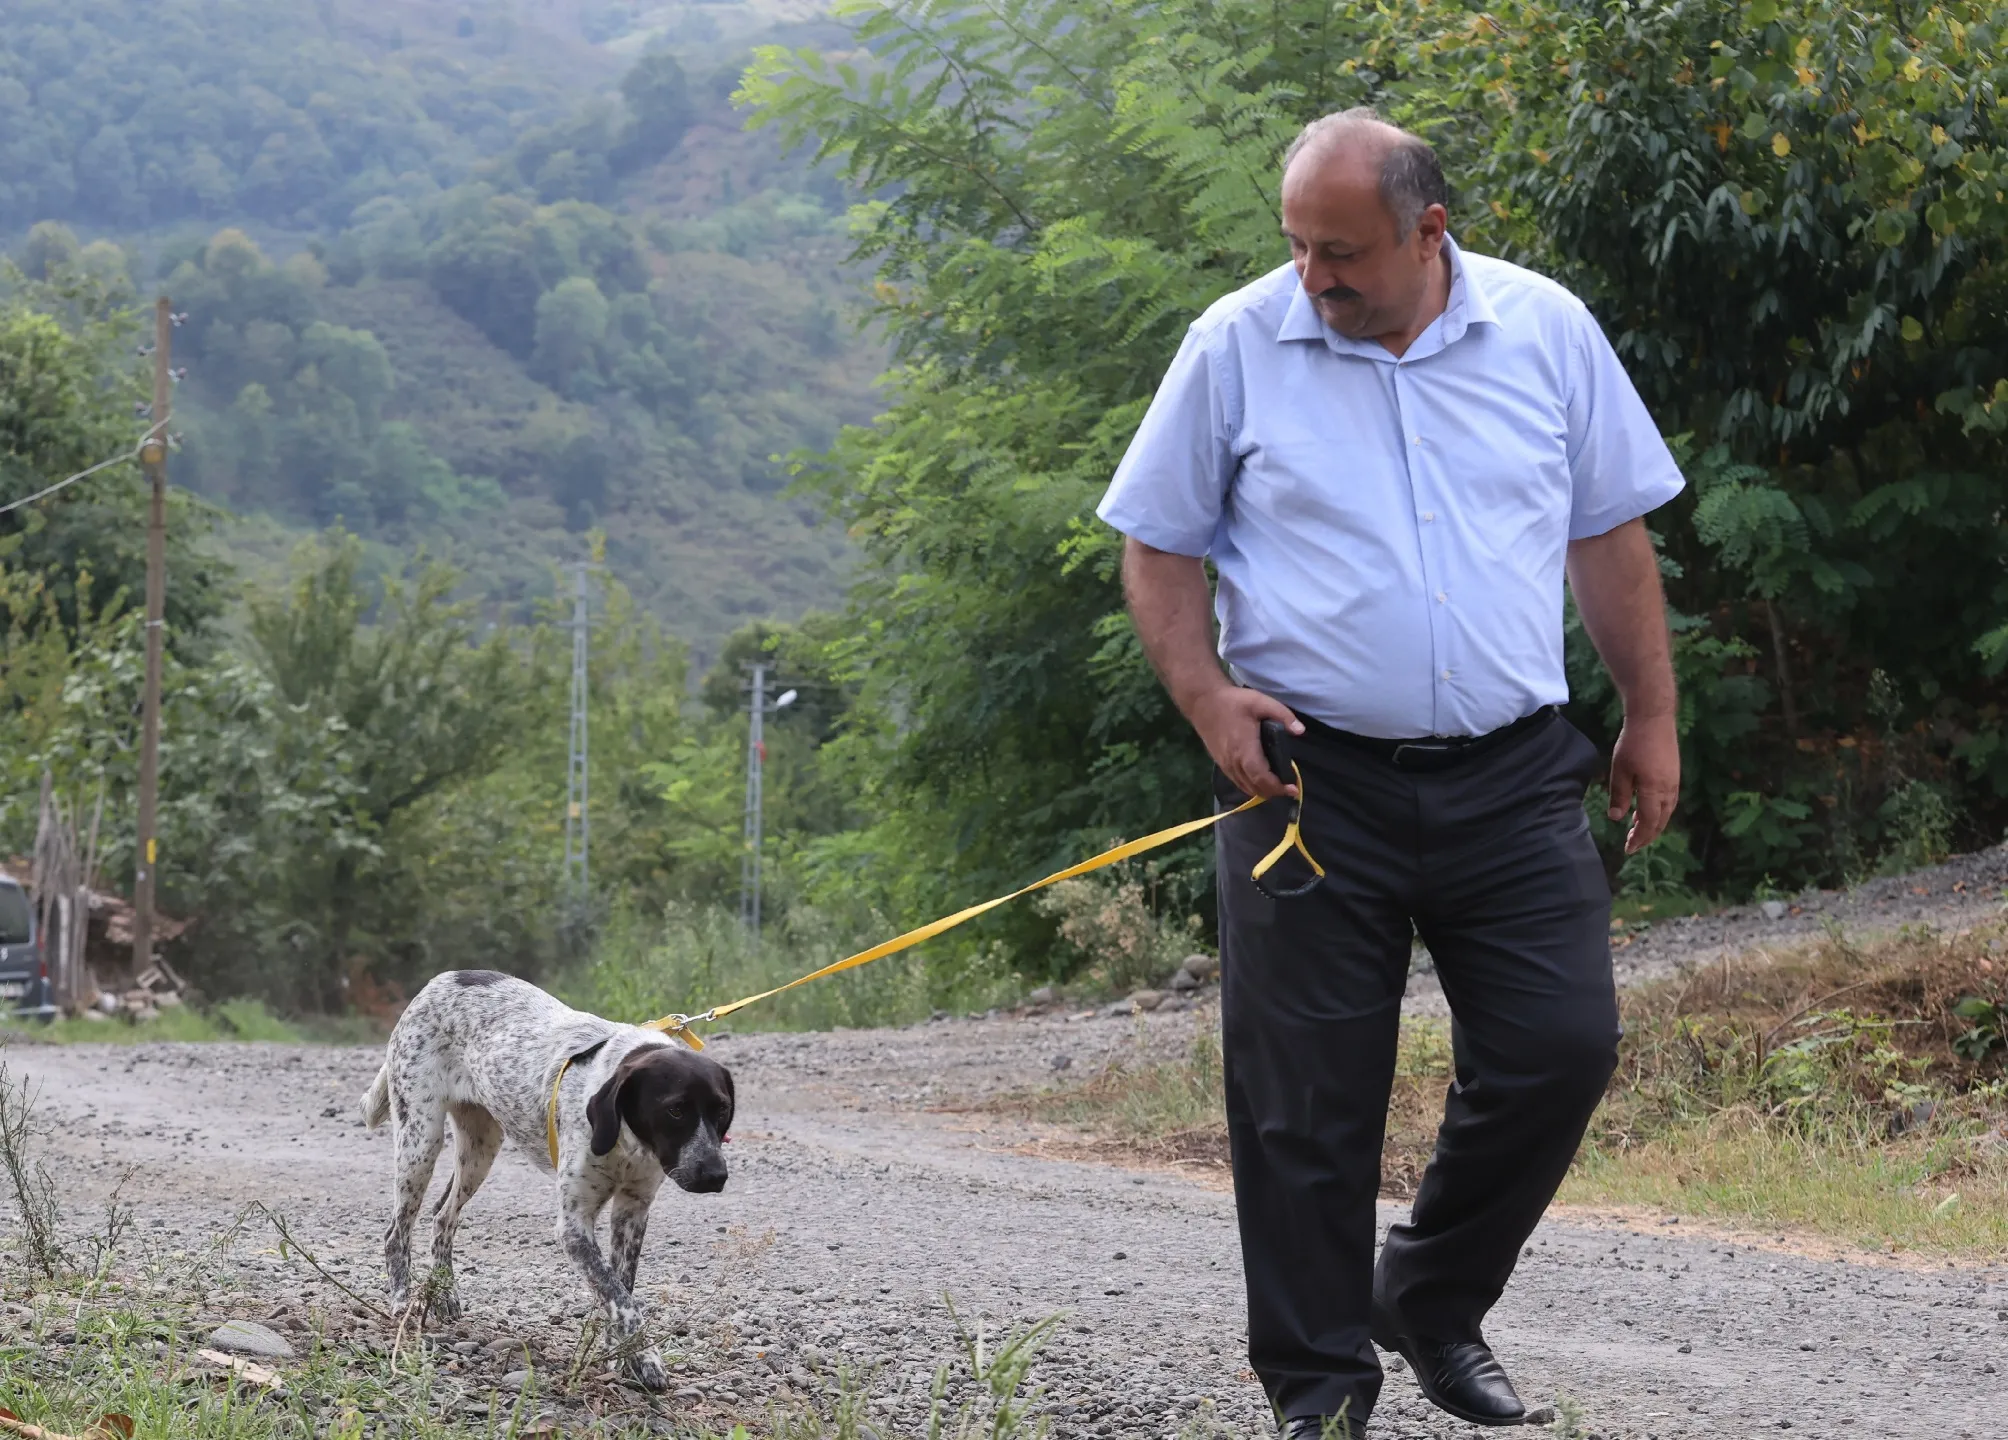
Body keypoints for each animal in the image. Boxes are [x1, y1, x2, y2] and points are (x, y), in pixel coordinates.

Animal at [363, 968, 738, 1381]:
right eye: (675, 1110)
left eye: (722, 1110)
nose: (715, 1175)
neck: (627, 1143)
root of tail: (443, 978)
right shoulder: (574, 1226)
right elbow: (620, 1298)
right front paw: (645, 1357)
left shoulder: (633, 1211)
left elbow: (621, 1287)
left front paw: (620, 1353)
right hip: (421, 1140)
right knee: (397, 1231)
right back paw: (402, 1301)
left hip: (480, 1148)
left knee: (443, 1216)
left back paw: (445, 1294)